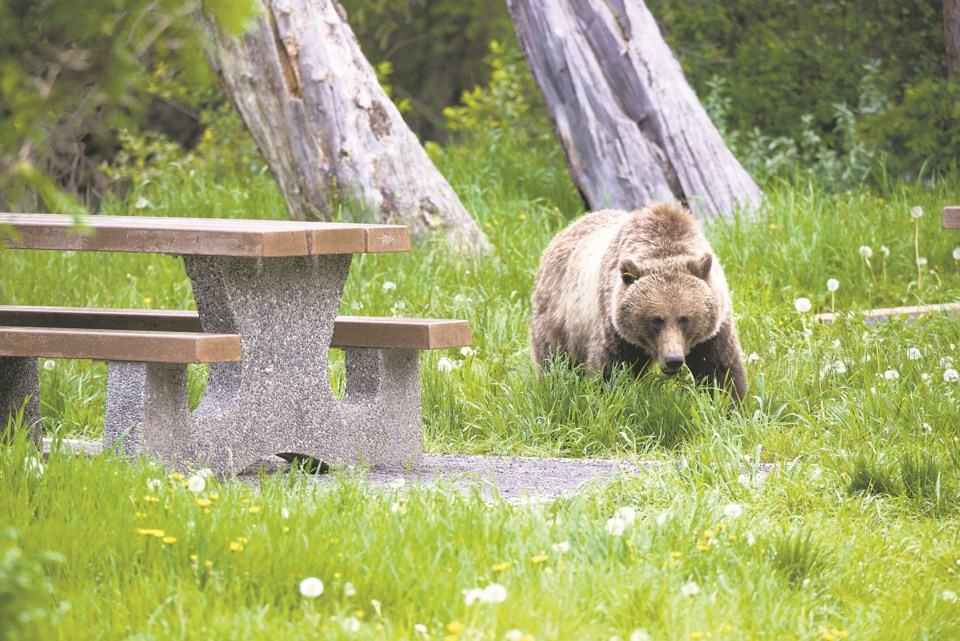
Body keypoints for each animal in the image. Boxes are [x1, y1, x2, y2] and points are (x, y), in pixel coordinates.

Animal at [528, 201, 748, 400]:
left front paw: (727, 404)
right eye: (656, 319)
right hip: (560, 317)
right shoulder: (615, 326)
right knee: (554, 361)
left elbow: (721, 369)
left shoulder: (714, 329)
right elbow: (610, 370)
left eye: (684, 319)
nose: (673, 360)